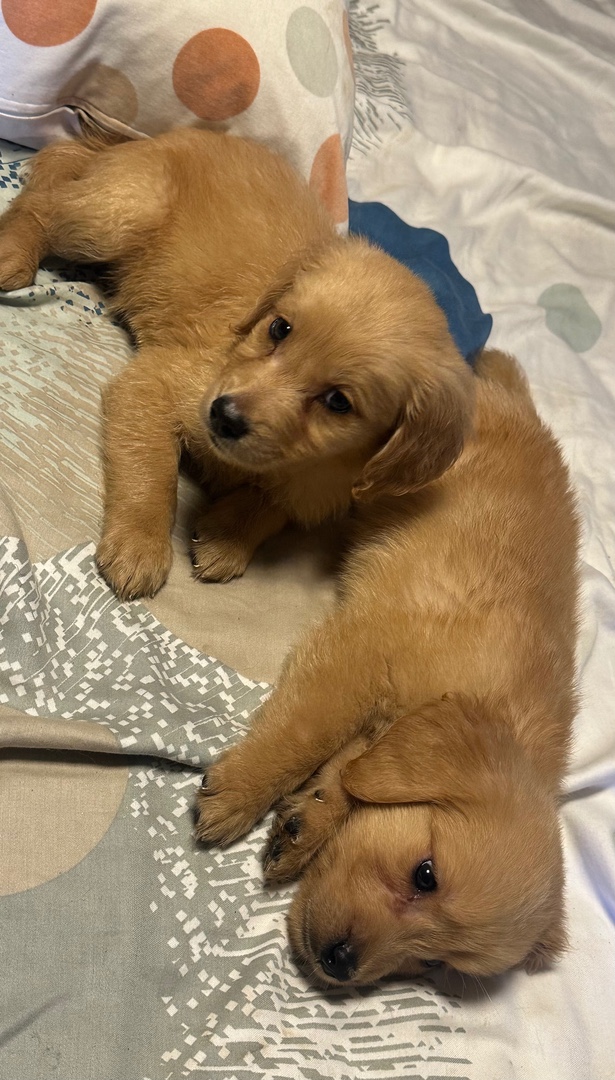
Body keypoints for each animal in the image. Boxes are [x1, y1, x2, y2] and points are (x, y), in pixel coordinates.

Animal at [0, 128, 473, 600]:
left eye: (339, 402)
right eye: (279, 328)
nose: (223, 416)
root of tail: (151, 138)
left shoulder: (321, 492)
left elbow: (277, 503)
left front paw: (228, 536)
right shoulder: (154, 384)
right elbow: (153, 472)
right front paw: (140, 544)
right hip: (118, 215)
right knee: (44, 199)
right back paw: (14, 253)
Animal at [194, 352, 579, 989]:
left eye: (433, 963)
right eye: (426, 875)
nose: (340, 964)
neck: (497, 707)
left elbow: (347, 777)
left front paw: (305, 827)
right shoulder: (358, 656)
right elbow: (301, 736)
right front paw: (240, 794)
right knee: (286, 487)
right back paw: (229, 535)